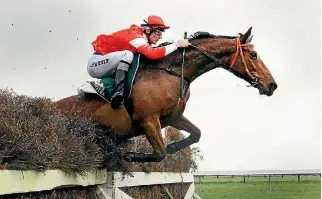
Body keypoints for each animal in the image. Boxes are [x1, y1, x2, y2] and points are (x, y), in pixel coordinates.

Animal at [55, 27, 276, 162]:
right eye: (254, 55)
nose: (272, 85)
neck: (173, 72)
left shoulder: (172, 117)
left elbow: (196, 134)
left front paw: (174, 147)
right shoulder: (148, 120)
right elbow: (159, 154)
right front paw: (127, 155)